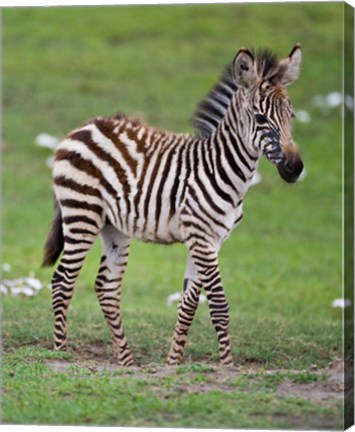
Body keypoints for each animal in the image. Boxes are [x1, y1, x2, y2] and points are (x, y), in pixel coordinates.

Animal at [41, 44, 304, 368]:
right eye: (260, 118)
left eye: (291, 115)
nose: (295, 168)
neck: (222, 168)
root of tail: (84, 126)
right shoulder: (201, 236)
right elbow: (219, 305)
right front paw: (228, 366)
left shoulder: (211, 240)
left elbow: (189, 303)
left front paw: (173, 363)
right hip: (81, 213)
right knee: (62, 281)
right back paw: (60, 352)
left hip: (113, 226)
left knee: (106, 287)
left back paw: (127, 362)